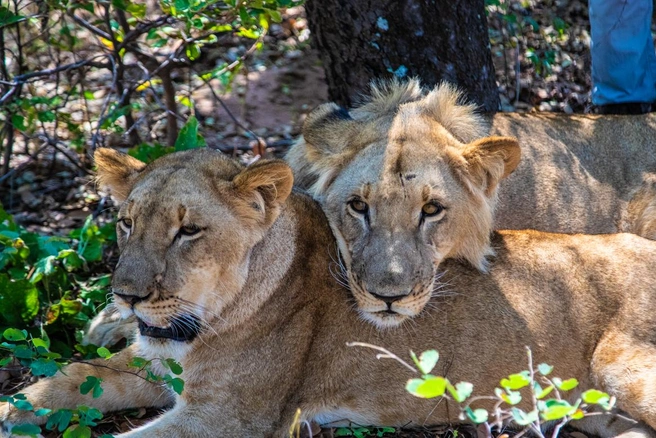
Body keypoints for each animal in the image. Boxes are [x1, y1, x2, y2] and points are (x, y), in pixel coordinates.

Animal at [3, 148, 656, 438]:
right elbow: (63, 381)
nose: (128, 297)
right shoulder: (151, 364)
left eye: (189, 231)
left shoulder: (231, 418)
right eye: (125, 223)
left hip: (624, 367)